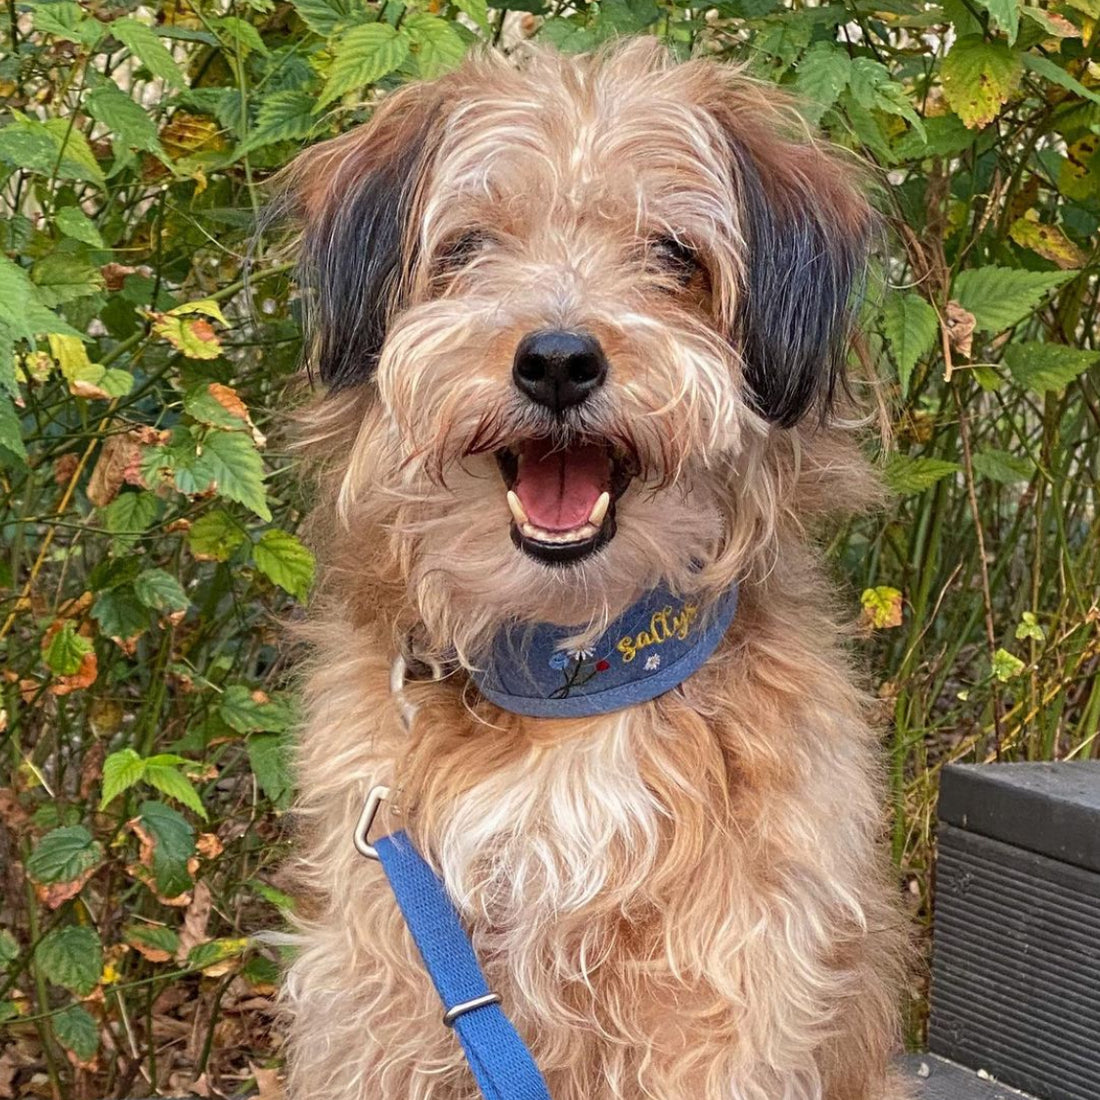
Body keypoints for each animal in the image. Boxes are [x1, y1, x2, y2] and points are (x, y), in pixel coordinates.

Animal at [279, 36, 906, 1100]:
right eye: (469, 246)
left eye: (674, 254)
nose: (559, 361)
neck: (570, 686)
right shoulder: (385, 992)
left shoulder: (721, 998)